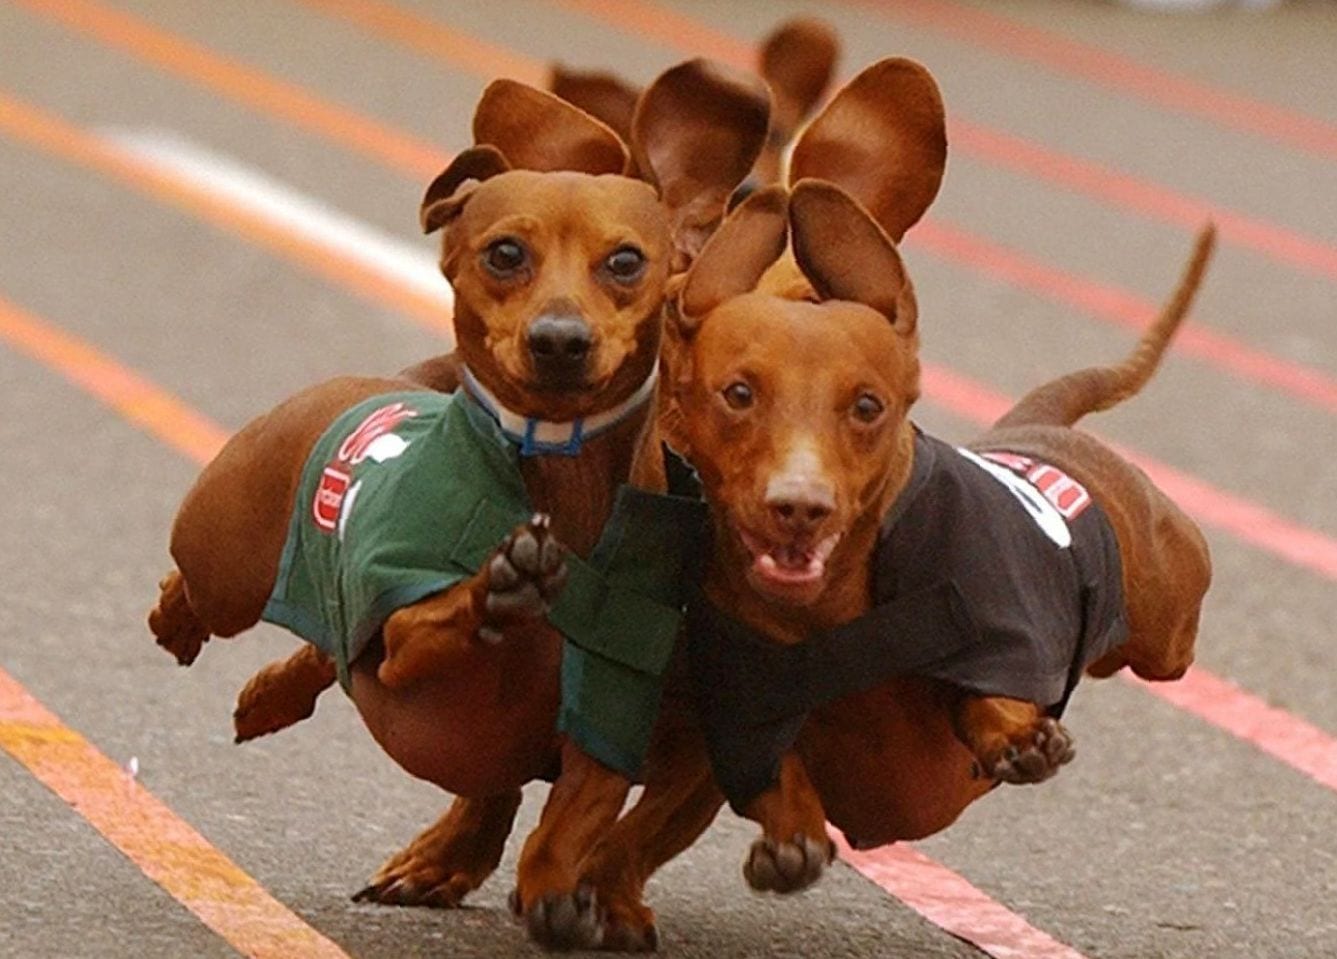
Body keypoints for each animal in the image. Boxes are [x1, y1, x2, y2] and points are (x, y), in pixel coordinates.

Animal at [146, 61, 770, 952]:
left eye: (625, 261)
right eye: (504, 252)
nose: (559, 339)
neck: (560, 483)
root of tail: (392, 381)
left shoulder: (613, 720)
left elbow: (578, 819)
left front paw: (559, 891)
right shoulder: (406, 640)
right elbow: (434, 619)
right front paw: (499, 584)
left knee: (327, 652)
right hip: (227, 563)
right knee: (216, 597)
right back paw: (185, 624)